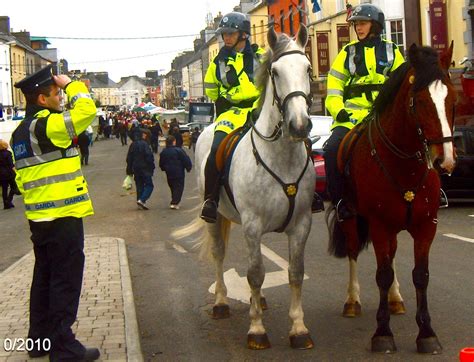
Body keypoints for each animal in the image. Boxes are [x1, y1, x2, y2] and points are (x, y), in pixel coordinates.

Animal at [176, 26, 316, 350]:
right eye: (275, 72)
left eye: (307, 68)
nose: (299, 125)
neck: (281, 158)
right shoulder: (253, 225)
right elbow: (253, 274)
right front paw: (257, 330)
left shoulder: (301, 225)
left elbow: (295, 273)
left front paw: (299, 328)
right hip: (216, 217)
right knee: (219, 255)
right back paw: (221, 303)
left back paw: (259, 301)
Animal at [328, 41, 458, 354]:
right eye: (419, 101)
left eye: (453, 98)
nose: (445, 162)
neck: (404, 164)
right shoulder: (379, 225)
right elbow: (382, 274)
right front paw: (383, 333)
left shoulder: (426, 226)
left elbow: (420, 275)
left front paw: (426, 333)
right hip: (352, 219)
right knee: (353, 252)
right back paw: (352, 301)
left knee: (394, 255)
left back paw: (396, 299)